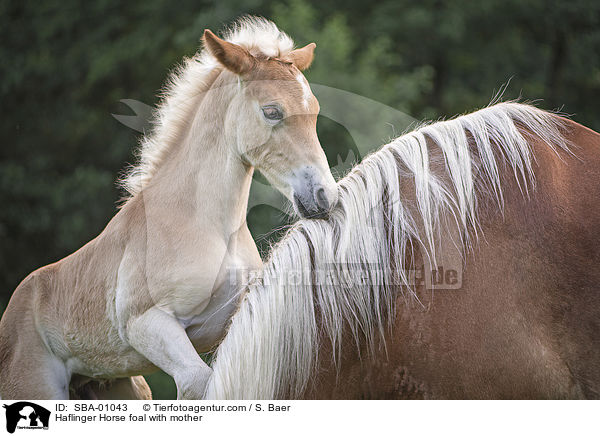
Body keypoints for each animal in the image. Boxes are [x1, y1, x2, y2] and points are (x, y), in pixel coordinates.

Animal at [0, 16, 338, 398]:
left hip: (121, 385)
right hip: (39, 388)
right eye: (271, 111)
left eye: (314, 112)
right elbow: (198, 383)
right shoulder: (148, 324)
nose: (323, 196)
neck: (205, 224)